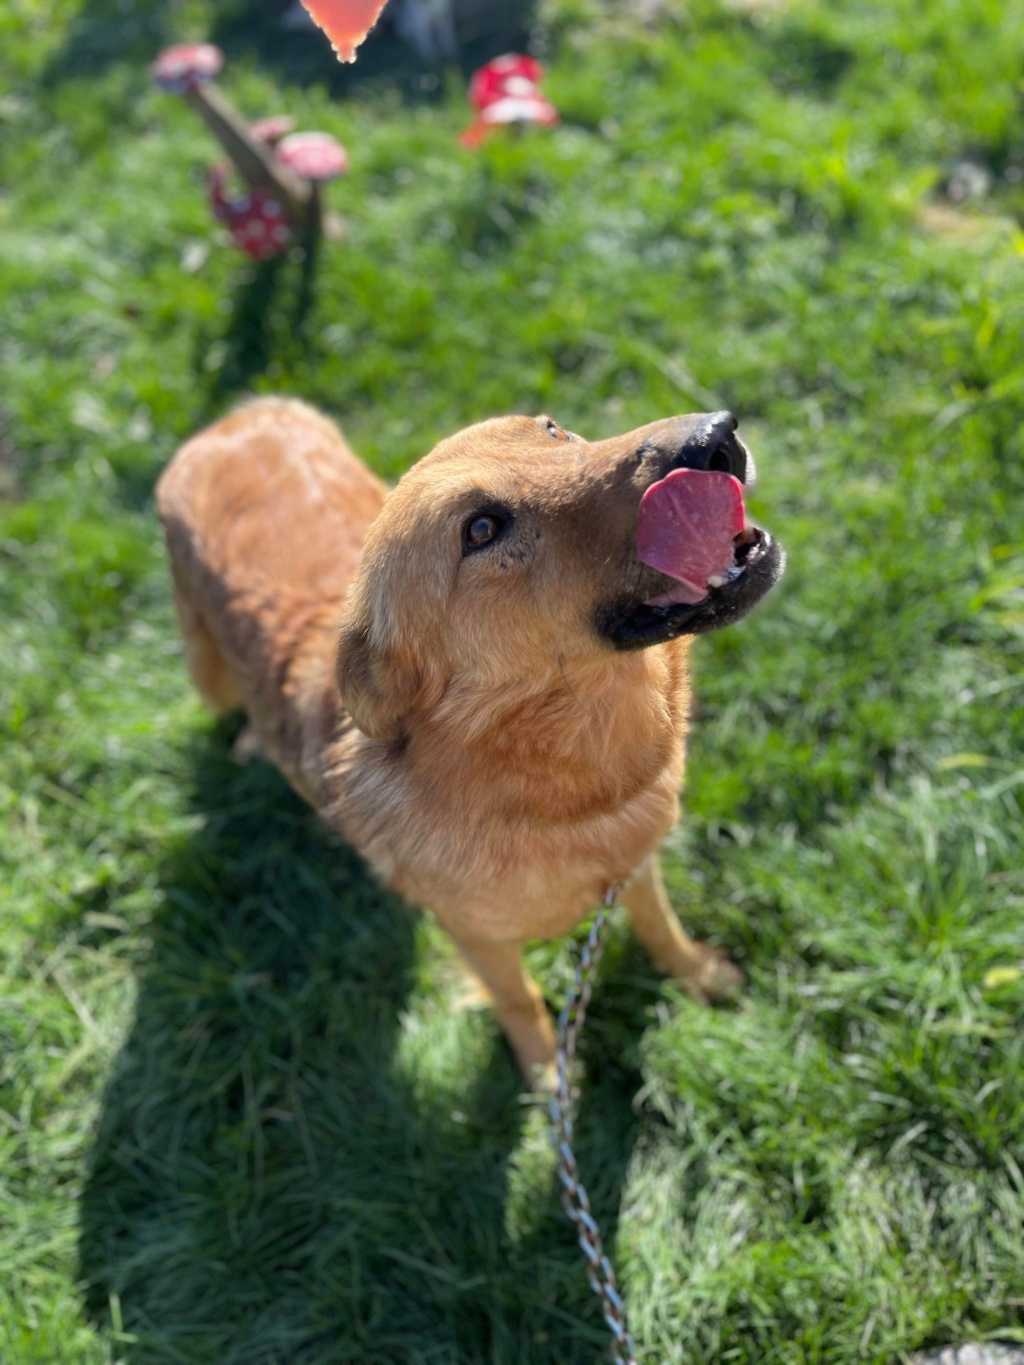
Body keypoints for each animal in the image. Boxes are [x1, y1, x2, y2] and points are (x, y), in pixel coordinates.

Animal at [158, 398, 786, 1086]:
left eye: (552, 430)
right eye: (482, 529)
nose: (714, 436)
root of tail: (235, 419)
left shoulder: (635, 866)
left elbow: (660, 927)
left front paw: (695, 974)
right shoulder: (477, 938)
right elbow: (519, 1000)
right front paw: (545, 1076)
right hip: (206, 670)